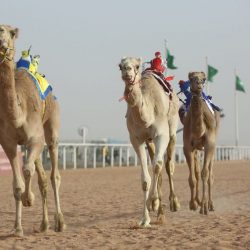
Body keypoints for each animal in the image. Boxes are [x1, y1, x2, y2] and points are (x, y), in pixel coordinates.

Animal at [0, 24, 65, 235]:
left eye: (10, 32)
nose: (1, 37)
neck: (18, 115)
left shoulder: (36, 138)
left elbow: (27, 170)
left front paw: (29, 199)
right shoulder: (9, 143)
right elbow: (17, 185)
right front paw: (17, 228)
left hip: (52, 125)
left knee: (54, 175)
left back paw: (60, 222)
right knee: (42, 178)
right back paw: (44, 225)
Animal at [119, 56, 180, 227]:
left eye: (136, 66)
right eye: (120, 66)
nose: (127, 72)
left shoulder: (162, 134)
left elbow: (159, 165)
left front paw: (153, 202)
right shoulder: (136, 138)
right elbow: (145, 179)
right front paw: (145, 218)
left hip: (172, 129)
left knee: (168, 165)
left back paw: (173, 203)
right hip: (150, 141)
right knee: (156, 165)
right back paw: (160, 212)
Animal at [181, 72, 220, 215]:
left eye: (204, 79)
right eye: (192, 78)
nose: (198, 85)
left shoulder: (209, 144)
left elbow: (205, 174)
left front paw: (203, 206)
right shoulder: (187, 146)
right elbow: (193, 177)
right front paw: (193, 204)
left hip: (213, 146)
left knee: (210, 174)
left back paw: (211, 204)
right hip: (197, 148)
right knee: (197, 172)